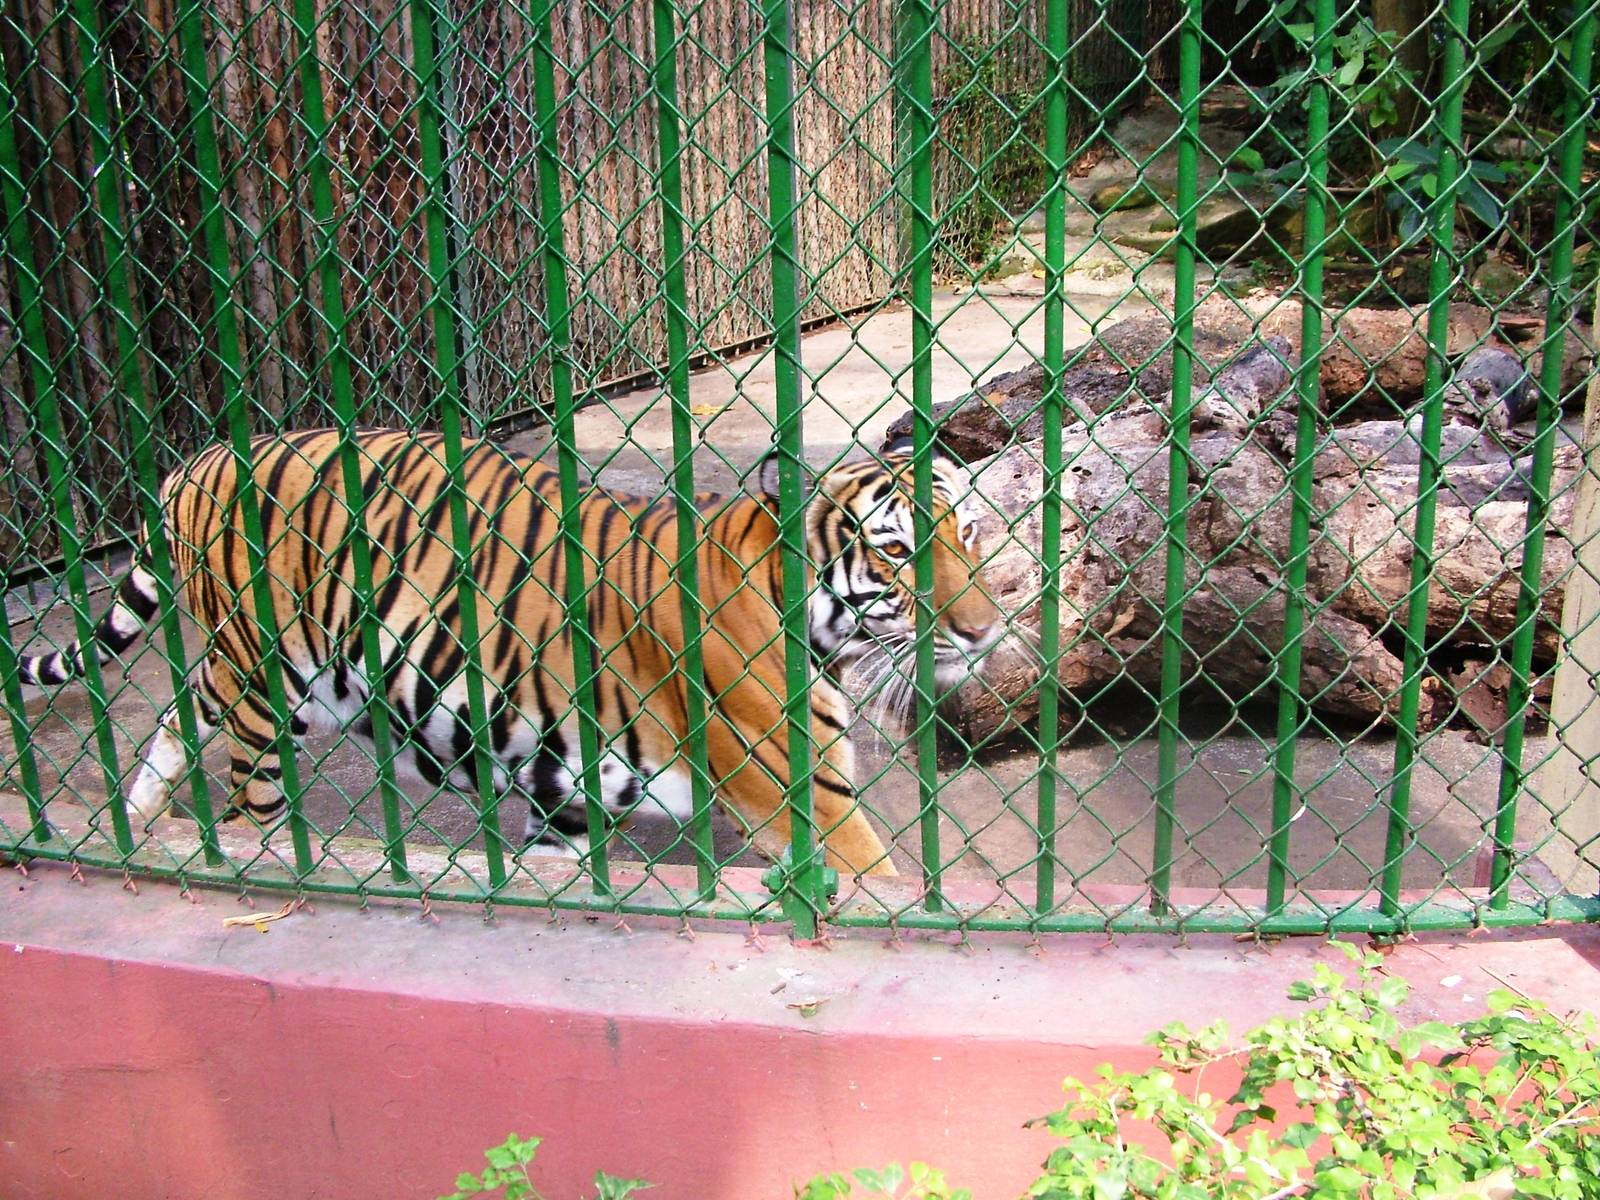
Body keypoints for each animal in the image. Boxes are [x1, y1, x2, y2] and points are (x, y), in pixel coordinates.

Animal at [16, 428, 1004, 878]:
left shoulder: (565, 786)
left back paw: (140, 825)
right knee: (248, 792)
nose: (986, 628)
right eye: (896, 551)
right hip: (266, 691)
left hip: (255, 672)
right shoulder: (803, 792)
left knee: (177, 711)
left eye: (964, 529)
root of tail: (199, 460)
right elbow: (880, 879)